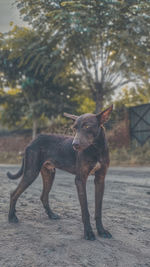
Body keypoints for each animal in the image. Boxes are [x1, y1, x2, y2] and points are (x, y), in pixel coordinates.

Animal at [7, 105, 112, 242]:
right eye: (74, 128)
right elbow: (85, 211)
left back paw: (51, 215)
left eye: (87, 126)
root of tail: (33, 140)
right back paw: (11, 217)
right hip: (31, 172)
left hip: (49, 174)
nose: (74, 145)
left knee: (43, 196)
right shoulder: (80, 180)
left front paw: (101, 231)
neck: (96, 149)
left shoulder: (100, 179)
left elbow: (98, 210)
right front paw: (88, 233)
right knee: (14, 193)